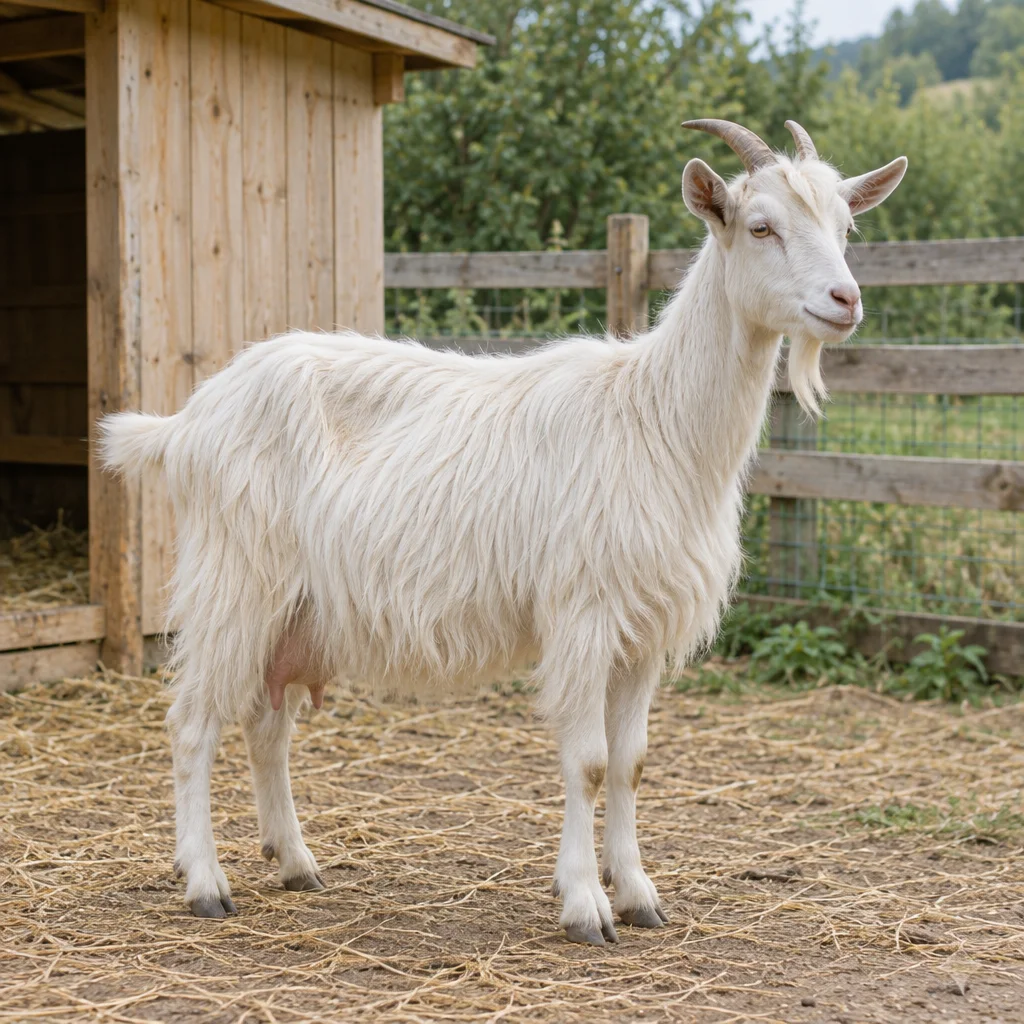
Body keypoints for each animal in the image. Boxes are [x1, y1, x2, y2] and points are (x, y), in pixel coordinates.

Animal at [101, 119, 907, 944]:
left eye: (846, 228)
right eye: (761, 226)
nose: (845, 300)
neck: (656, 419)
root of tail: (188, 421)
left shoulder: (643, 629)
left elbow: (631, 762)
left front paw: (638, 894)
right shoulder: (584, 611)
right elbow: (588, 762)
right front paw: (584, 904)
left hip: (294, 610)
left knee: (267, 726)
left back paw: (296, 862)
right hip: (233, 581)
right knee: (193, 723)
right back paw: (204, 881)